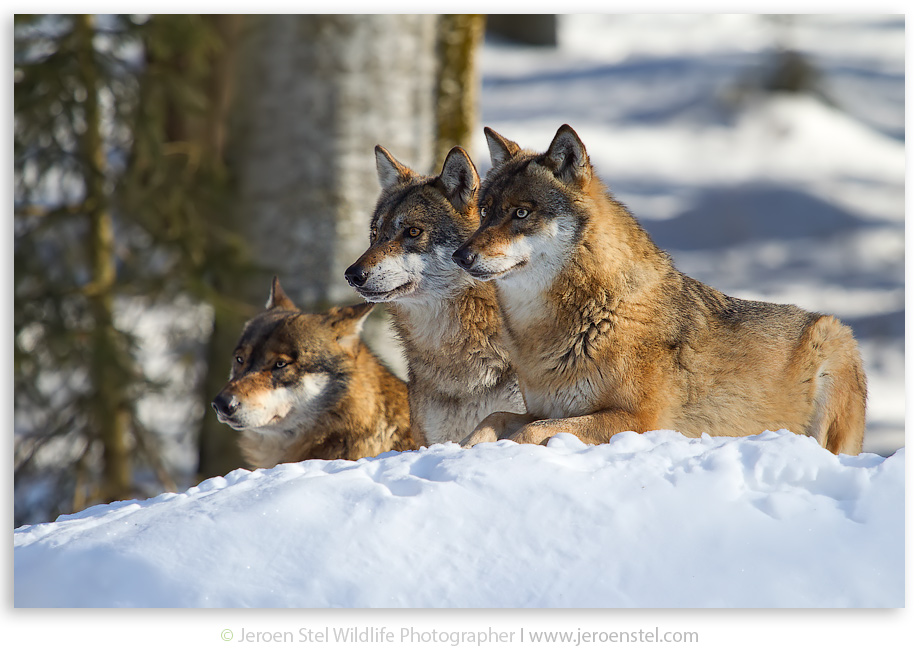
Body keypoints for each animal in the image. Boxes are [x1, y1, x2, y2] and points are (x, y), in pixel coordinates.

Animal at [452, 124, 866, 455]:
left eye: (521, 213)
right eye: (485, 211)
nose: (461, 256)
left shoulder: (639, 420)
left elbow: (529, 433)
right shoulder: (541, 408)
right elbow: (494, 417)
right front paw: (463, 448)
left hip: (833, 339)